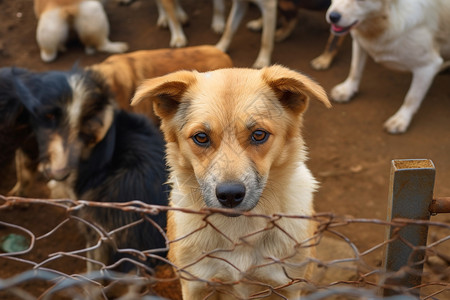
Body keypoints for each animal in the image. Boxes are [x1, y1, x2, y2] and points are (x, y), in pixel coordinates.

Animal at [130, 65, 330, 298]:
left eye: (259, 134)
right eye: (201, 137)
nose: (230, 195)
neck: (238, 230)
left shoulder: (287, 286)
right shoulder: (195, 285)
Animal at [326, 0, 450, 134]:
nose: (333, 16)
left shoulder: (428, 66)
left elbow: (411, 97)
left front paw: (401, 119)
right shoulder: (359, 42)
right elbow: (355, 70)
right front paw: (347, 90)